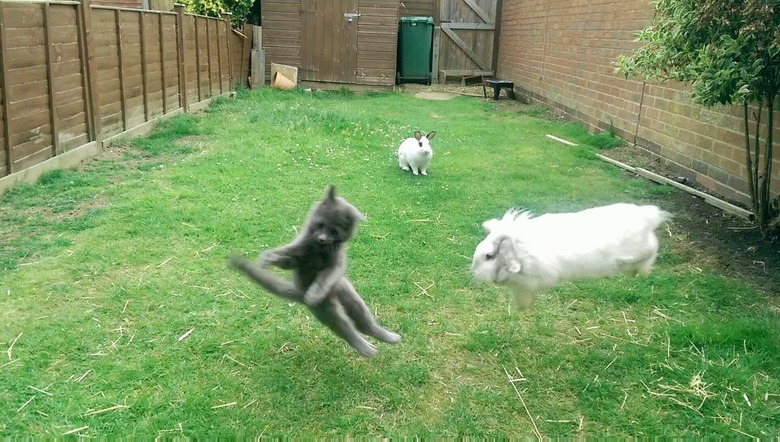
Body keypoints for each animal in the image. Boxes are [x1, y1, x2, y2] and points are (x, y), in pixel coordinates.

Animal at [230, 185, 402, 358]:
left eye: (334, 231)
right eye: (320, 224)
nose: (322, 238)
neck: (319, 249)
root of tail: (299, 292)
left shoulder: (335, 264)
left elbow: (325, 276)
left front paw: (315, 293)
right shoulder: (298, 253)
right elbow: (287, 258)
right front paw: (269, 258)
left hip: (343, 289)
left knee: (361, 322)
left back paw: (383, 339)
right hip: (326, 308)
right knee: (344, 326)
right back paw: (367, 348)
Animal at [470, 203, 672, 310]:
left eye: (489, 256)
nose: (473, 271)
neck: (521, 252)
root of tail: (648, 217)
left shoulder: (532, 281)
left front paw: (523, 307)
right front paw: (522, 308)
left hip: (642, 250)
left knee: (651, 253)